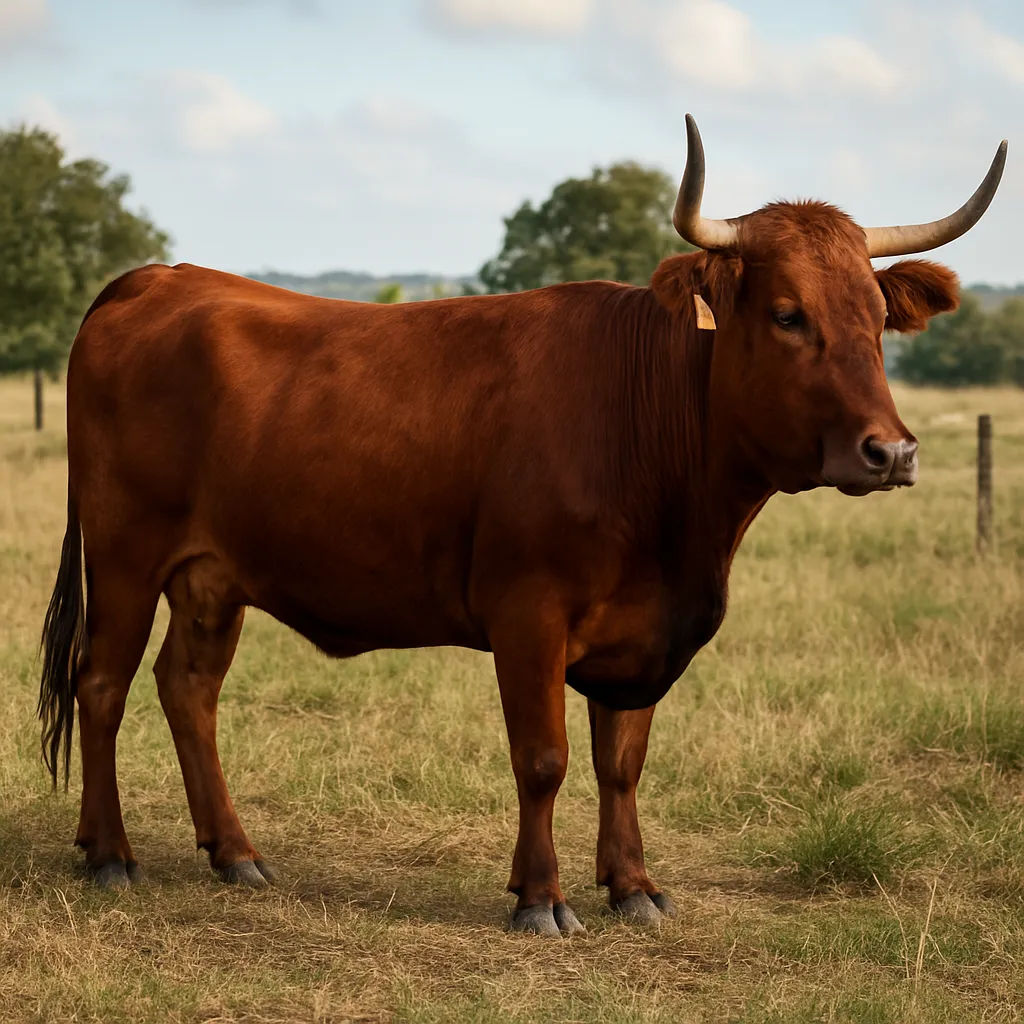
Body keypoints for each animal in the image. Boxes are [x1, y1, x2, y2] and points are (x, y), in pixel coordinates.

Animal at [39, 116, 1005, 936]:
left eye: (878, 320)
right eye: (787, 314)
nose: (891, 451)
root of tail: (159, 278)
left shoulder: (641, 634)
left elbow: (622, 762)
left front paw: (633, 887)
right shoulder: (527, 614)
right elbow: (544, 758)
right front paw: (540, 898)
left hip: (211, 575)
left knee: (188, 688)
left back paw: (235, 853)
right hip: (123, 553)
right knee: (102, 684)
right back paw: (110, 855)